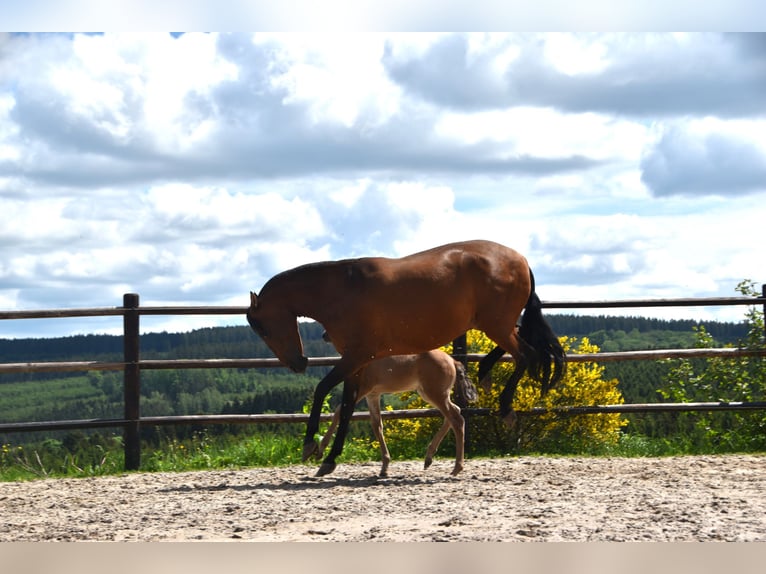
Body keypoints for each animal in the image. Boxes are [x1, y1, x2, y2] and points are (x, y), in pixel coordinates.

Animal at [316, 348, 476, 480]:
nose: (324, 335)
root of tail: (453, 361)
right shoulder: (372, 395)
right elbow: (377, 425)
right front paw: (385, 467)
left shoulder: (363, 389)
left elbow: (338, 411)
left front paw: (321, 452)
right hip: (429, 394)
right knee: (455, 411)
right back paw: (429, 458)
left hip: (435, 394)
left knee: (456, 419)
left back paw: (456, 468)